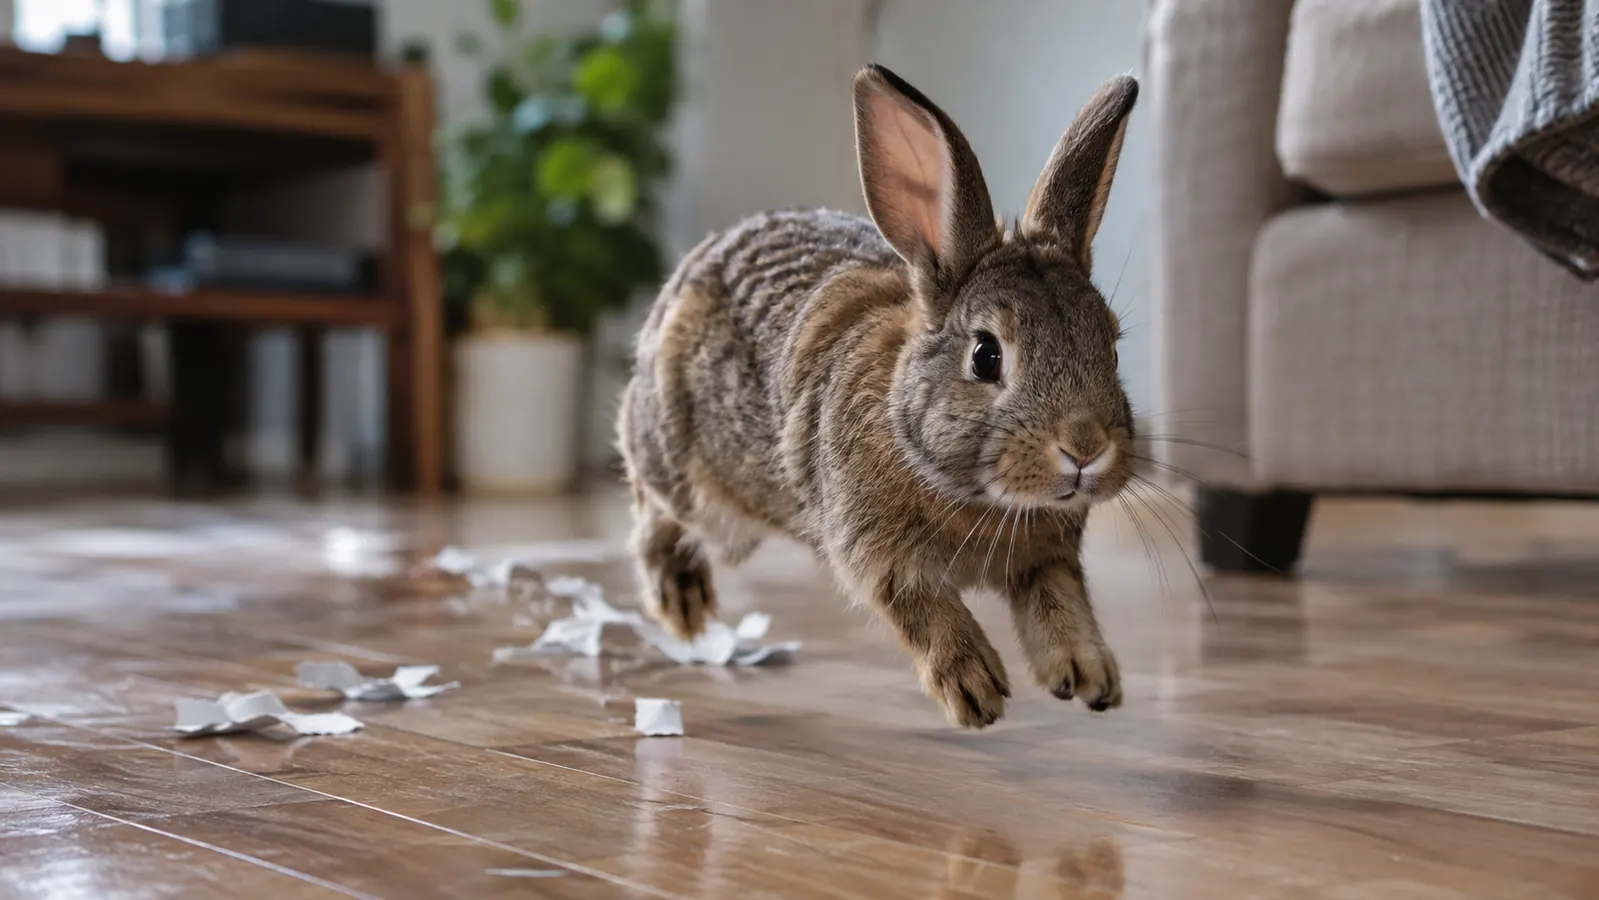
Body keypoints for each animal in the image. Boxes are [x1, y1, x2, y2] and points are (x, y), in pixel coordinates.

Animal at [617, 63, 1138, 728]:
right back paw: (683, 605)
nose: (1084, 447)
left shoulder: (1047, 558)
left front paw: (1090, 677)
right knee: (652, 506)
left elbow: (1061, 604)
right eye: (986, 356)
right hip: (696, 485)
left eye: (1113, 349)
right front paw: (975, 692)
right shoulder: (878, 554)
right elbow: (924, 610)